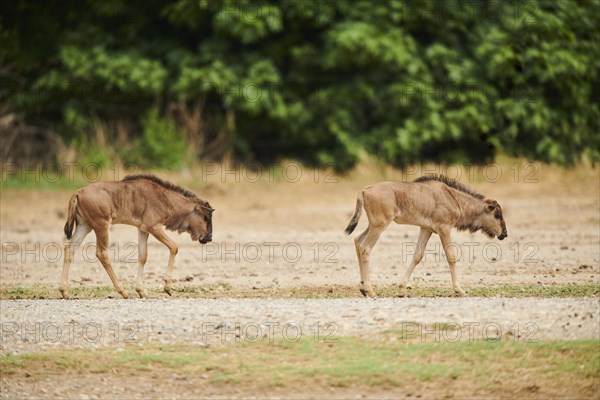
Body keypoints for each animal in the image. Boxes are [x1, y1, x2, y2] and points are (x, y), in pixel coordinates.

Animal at [62, 173, 212, 298]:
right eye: (205, 217)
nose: (209, 238)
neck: (165, 199)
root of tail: (77, 193)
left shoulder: (143, 229)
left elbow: (143, 256)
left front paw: (141, 291)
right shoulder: (154, 227)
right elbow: (174, 247)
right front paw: (167, 287)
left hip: (84, 226)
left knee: (70, 249)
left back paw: (64, 291)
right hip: (101, 226)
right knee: (102, 254)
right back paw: (123, 291)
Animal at [344, 175, 508, 296]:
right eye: (497, 214)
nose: (505, 234)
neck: (454, 199)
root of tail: (364, 191)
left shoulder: (425, 229)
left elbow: (417, 255)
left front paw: (402, 289)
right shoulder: (444, 228)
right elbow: (451, 256)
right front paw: (460, 290)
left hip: (373, 226)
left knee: (357, 241)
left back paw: (363, 289)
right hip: (380, 225)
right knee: (365, 248)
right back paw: (370, 291)